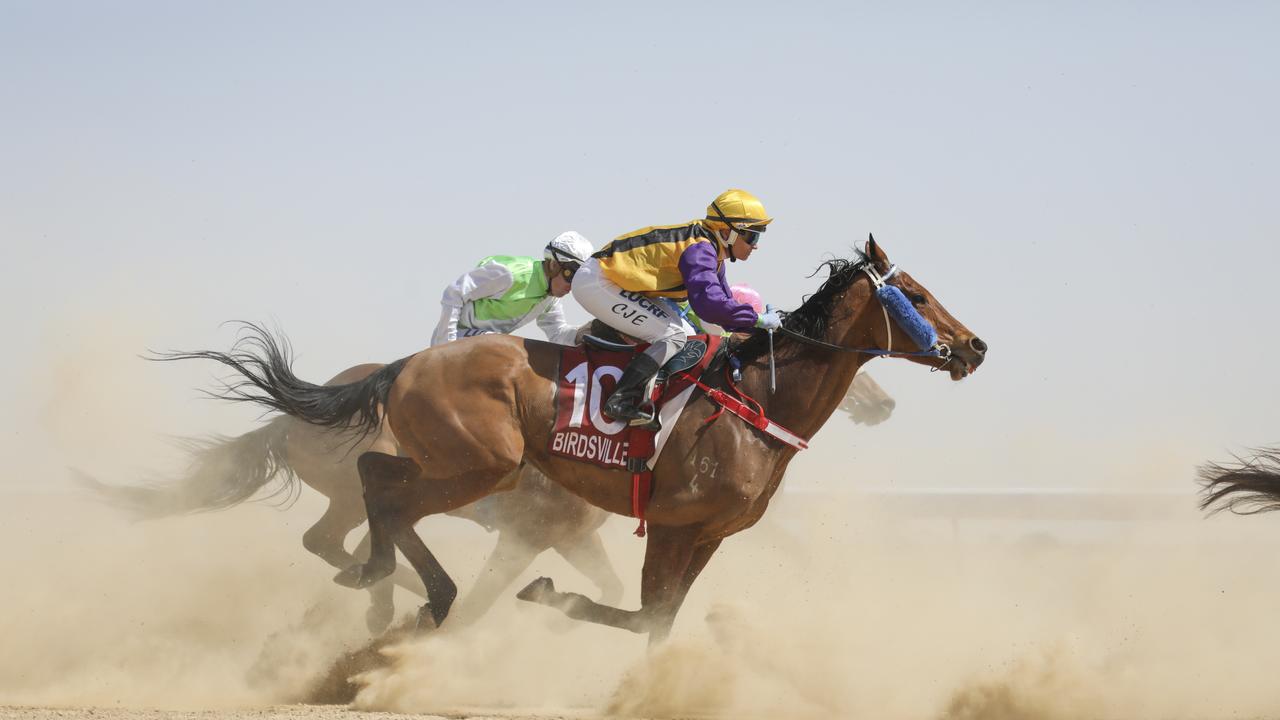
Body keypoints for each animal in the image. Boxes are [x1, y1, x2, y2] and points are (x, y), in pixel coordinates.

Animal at [80, 358, 619, 627]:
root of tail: (291, 421)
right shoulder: (527, 537)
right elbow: (480, 604)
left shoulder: (572, 538)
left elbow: (612, 585)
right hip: (354, 491)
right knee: (334, 540)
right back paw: (382, 601)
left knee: (338, 542)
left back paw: (375, 597)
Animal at [165, 238, 983, 640]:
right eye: (915, 295)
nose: (974, 346)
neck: (753, 399)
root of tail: (406, 365)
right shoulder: (654, 525)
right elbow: (634, 609)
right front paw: (542, 598)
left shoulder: (705, 534)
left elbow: (657, 621)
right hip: (482, 466)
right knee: (382, 499)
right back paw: (404, 591)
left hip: (459, 468)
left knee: (373, 494)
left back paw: (383, 584)